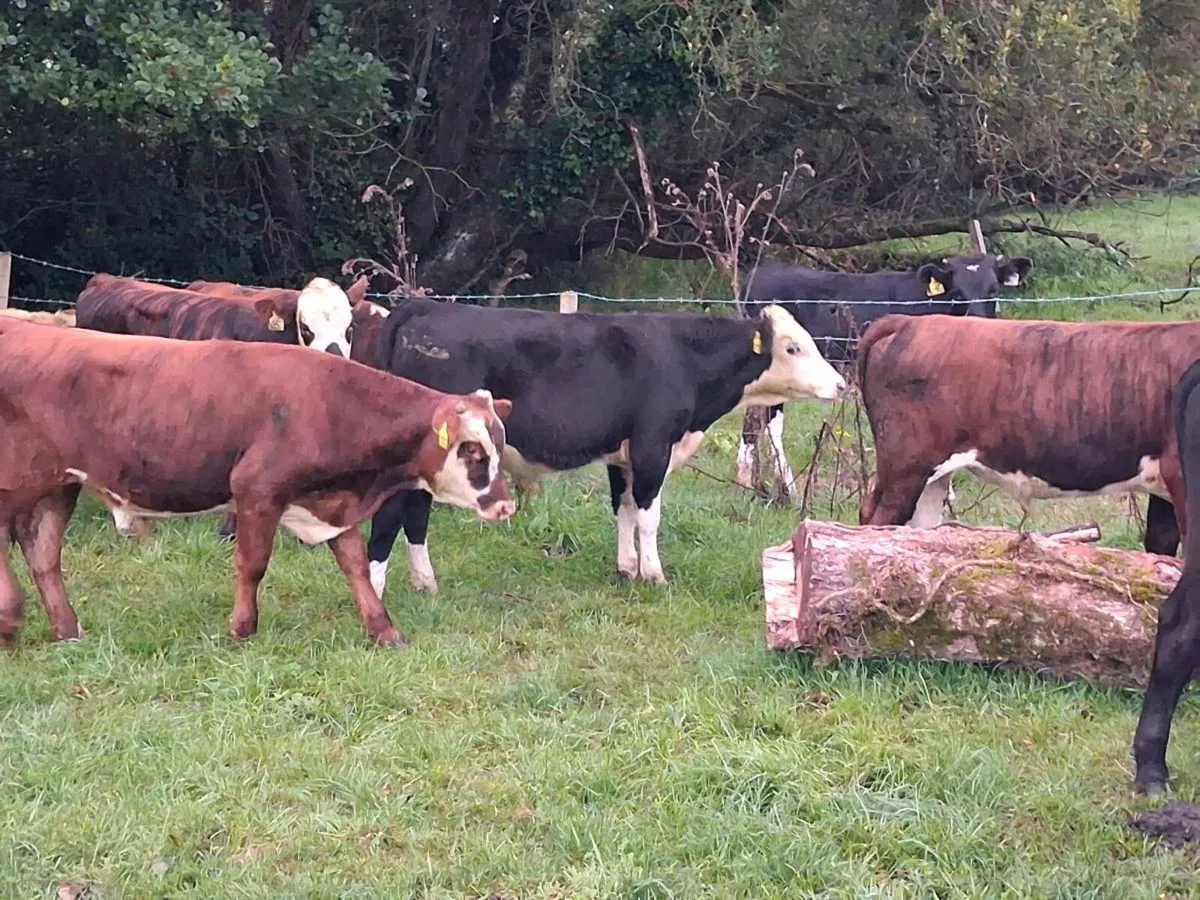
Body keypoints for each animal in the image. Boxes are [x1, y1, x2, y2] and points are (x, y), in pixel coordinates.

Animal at [0, 318, 515, 649]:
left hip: (59, 484)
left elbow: (354, 564)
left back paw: (68, 631)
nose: (506, 506)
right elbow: (253, 564)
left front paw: (384, 630)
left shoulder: (331, 504)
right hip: (19, 480)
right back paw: (11, 618)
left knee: (43, 554)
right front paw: (242, 628)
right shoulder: (256, 490)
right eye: (472, 450)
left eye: (500, 442)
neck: (334, 405)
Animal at [352, 298, 847, 598]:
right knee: (392, 516)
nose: (841, 384)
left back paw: (426, 584)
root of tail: (425, 306)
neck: (684, 359)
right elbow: (648, 516)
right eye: (793, 347)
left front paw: (626, 568)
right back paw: (377, 593)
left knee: (415, 516)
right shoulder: (652, 447)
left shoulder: (622, 455)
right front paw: (654, 575)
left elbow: (623, 509)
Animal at [733, 253, 1033, 493]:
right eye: (958, 293)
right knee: (768, 423)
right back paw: (785, 488)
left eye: (993, 290)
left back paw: (748, 481)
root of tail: (764, 269)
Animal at [853, 313, 1200, 558]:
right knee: (878, 520)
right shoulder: (1179, 472)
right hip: (907, 464)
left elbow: (1162, 545)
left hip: (926, 476)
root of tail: (908, 322)